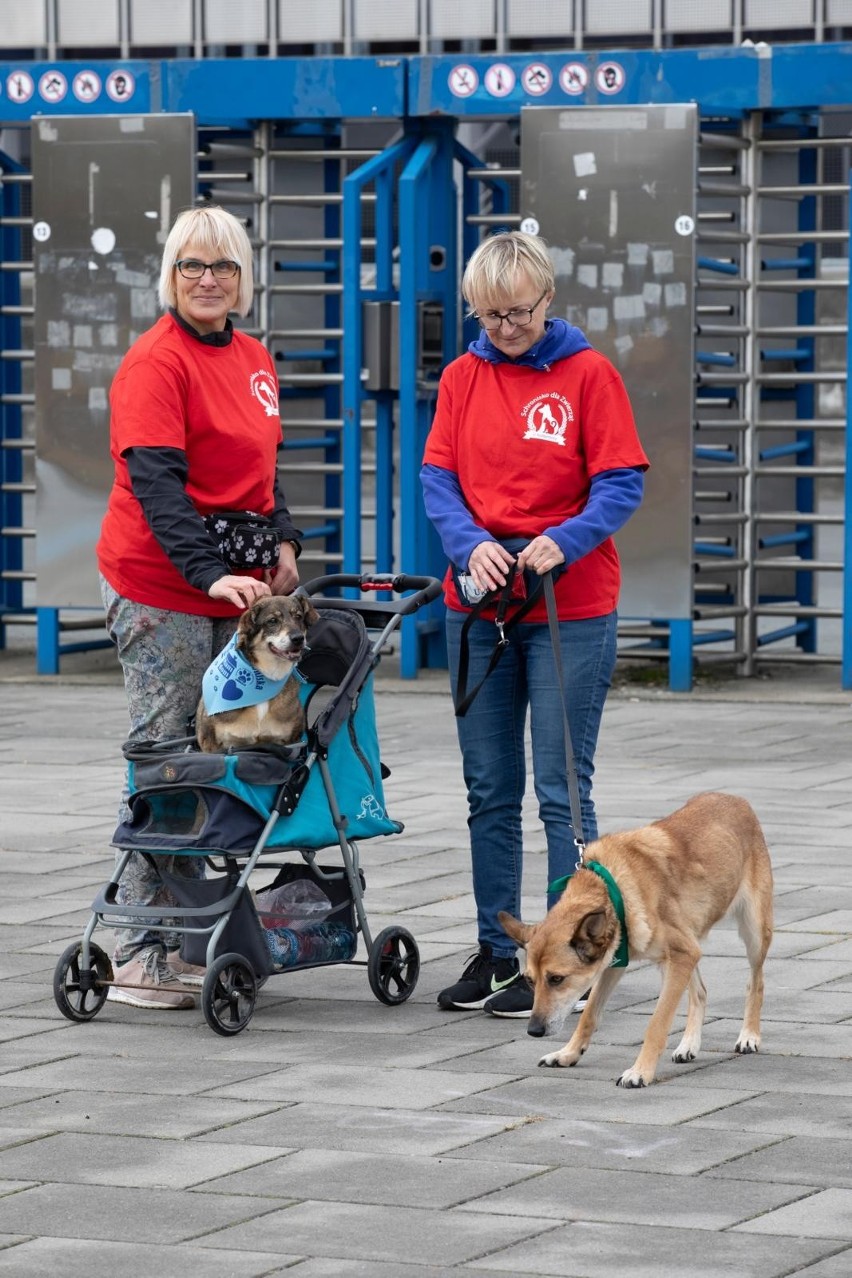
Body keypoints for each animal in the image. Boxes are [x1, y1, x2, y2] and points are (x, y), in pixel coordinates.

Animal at [500, 787, 771, 1088]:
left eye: (557, 979)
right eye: (529, 981)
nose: (534, 1030)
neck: (613, 889)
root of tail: (733, 798)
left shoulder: (680, 954)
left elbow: (657, 1024)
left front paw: (640, 1071)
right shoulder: (616, 962)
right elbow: (589, 1015)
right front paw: (568, 1053)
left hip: (752, 933)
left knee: (755, 983)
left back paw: (748, 1036)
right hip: (678, 957)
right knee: (699, 991)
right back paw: (689, 1044)